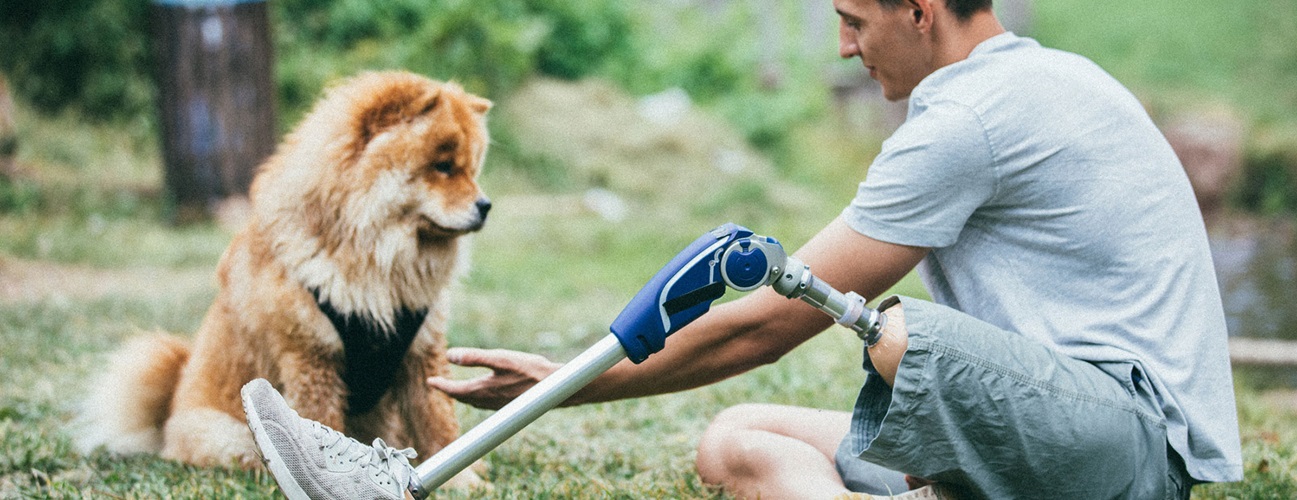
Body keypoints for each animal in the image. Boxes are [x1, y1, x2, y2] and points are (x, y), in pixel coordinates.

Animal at [77, 70, 490, 484]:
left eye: (471, 169)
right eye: (443, 166)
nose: (485, 205)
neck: (378, 263)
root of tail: (168, 416)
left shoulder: (421, 352)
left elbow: (439, 423)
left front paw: (464, 480)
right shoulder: (310, 357)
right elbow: (324, 421)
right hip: (232, 434)